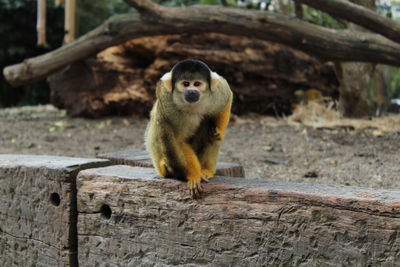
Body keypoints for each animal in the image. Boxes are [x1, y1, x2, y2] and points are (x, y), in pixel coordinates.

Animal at [145, 59, 233, 197]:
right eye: (186, 84)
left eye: (196, 84)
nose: (192, 91)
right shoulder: (169, 105)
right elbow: (179, 140)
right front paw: (194, 175)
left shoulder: (217, 93)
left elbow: (227, 98)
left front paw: (220, 130)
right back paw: (165, 169)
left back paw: (207, 169)